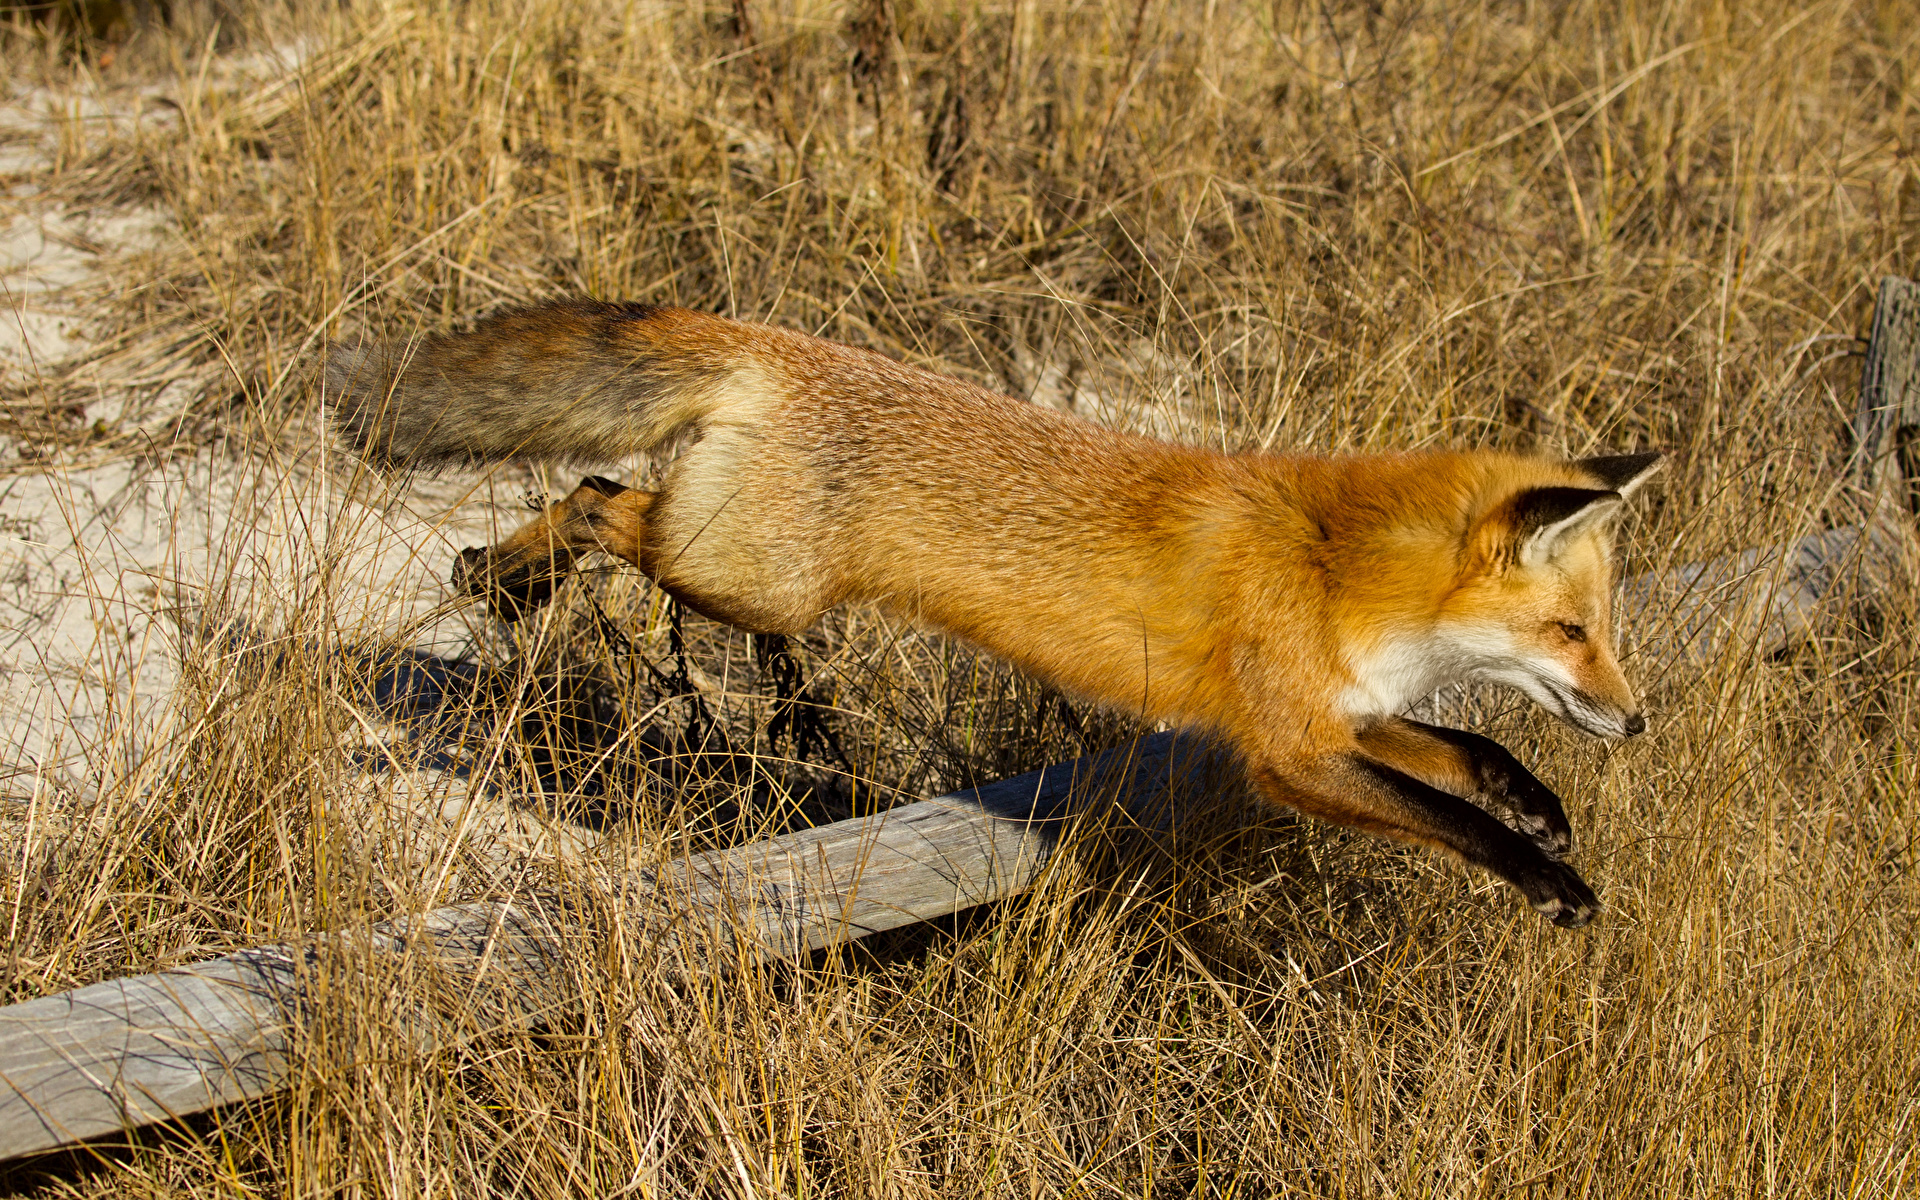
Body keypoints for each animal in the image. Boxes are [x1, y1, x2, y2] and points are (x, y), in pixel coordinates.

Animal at [322, 299, 1658, 925]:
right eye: (1573, 635)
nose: (1638, 722)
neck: (1338, 569)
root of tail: (776, 341)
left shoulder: (1341, 716)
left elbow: (1467, 752)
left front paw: (1539, 806)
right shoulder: (1288, 750)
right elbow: (1445, 813)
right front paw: (1545, 878)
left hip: (732, 563)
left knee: (600, 491)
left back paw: (509, 581)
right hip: (739, 572)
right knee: (602, 504)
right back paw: (502, 583)